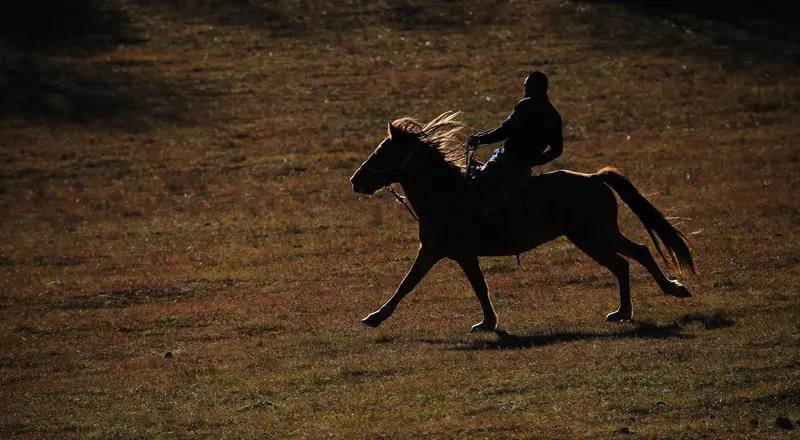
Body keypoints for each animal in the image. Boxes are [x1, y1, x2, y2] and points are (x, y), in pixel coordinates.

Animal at [350, 112, 695, 332]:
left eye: (382, 152)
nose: (356, 181)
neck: (446, 193)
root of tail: (594, 179)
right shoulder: (450, 253)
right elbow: (467, 286)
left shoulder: (445, 252)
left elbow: (414, 284)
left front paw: (375, 317)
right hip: (596, 235)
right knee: (633, 256)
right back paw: (634, 307)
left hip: (592, 235)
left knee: (628, 259)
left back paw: (657, 297)